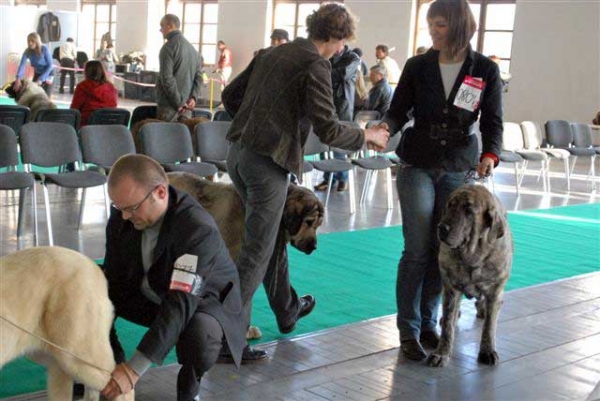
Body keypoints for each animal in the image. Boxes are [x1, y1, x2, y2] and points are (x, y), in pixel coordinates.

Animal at [426, 184, 510, 366]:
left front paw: (487, 351)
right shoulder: (451, 287)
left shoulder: (495, 289)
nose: (442, 228)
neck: (473, 254)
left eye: (468, 210)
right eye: (450, 205)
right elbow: (448, 324)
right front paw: (441, 353)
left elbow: (489, 326)